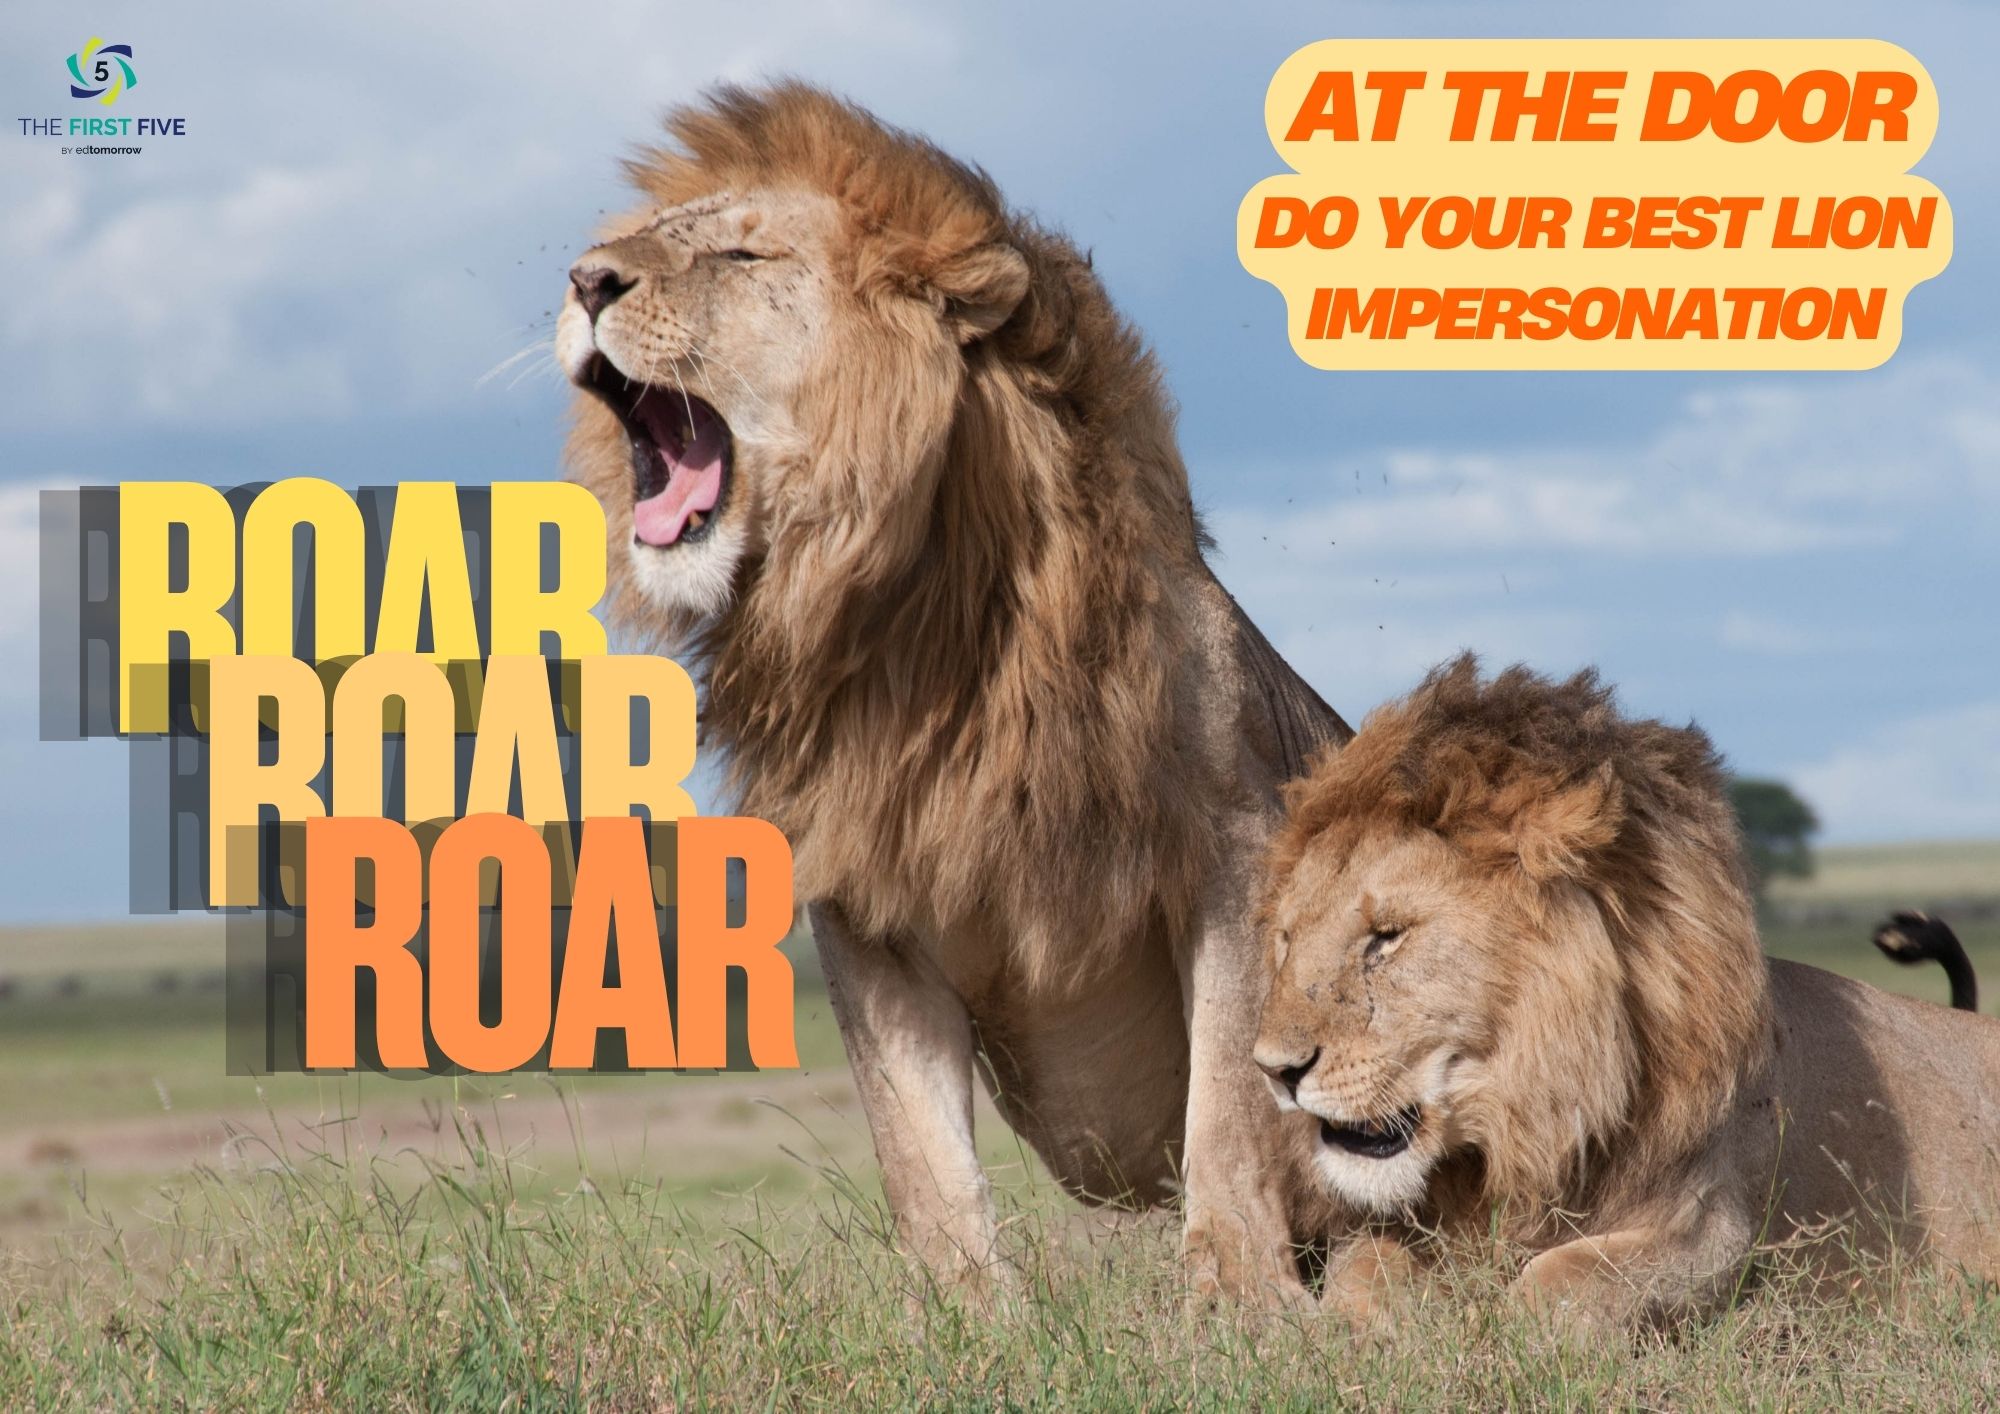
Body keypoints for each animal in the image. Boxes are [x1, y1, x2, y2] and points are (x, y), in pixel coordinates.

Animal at [557, 83, 1349, 1305]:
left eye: (741, 254)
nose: (585, 279)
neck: (910, 629)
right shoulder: (863, 900)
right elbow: (918, 1151)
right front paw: (970, 1318)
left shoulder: (1233, 846)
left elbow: (1227, 1107)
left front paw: (1240, 1305)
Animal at [1255, 655, 2000, 1331]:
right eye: (1287, 938)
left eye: (1387, 938)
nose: (1273, 1070)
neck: (1531, 1121)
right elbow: (1364, 1268)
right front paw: (1354, 1336)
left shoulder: (1718, 1233)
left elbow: (1561, 1277)